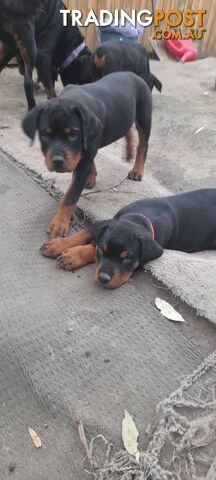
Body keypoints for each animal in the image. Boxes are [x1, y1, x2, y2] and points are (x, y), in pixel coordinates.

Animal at [22, 71, 153, 240]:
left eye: (73, 135)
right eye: (45, 135)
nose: (57, 161)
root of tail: (134, 74)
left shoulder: (85, 151)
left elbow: (71, 196)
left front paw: (59, 223)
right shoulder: (85, 149)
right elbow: (87, 162)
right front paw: (91, 178)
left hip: (144, 118)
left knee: (143, 144)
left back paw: (137, 169)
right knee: (126, 130)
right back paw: (128, 153)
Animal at [41, 189, 216, 288]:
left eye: (126, 259)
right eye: (102, 250)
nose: (103, 279)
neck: (139, 217)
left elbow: (91, 246)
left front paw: (72, 256)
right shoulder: (105, 224)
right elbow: (85, 233)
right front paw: (57, 245)